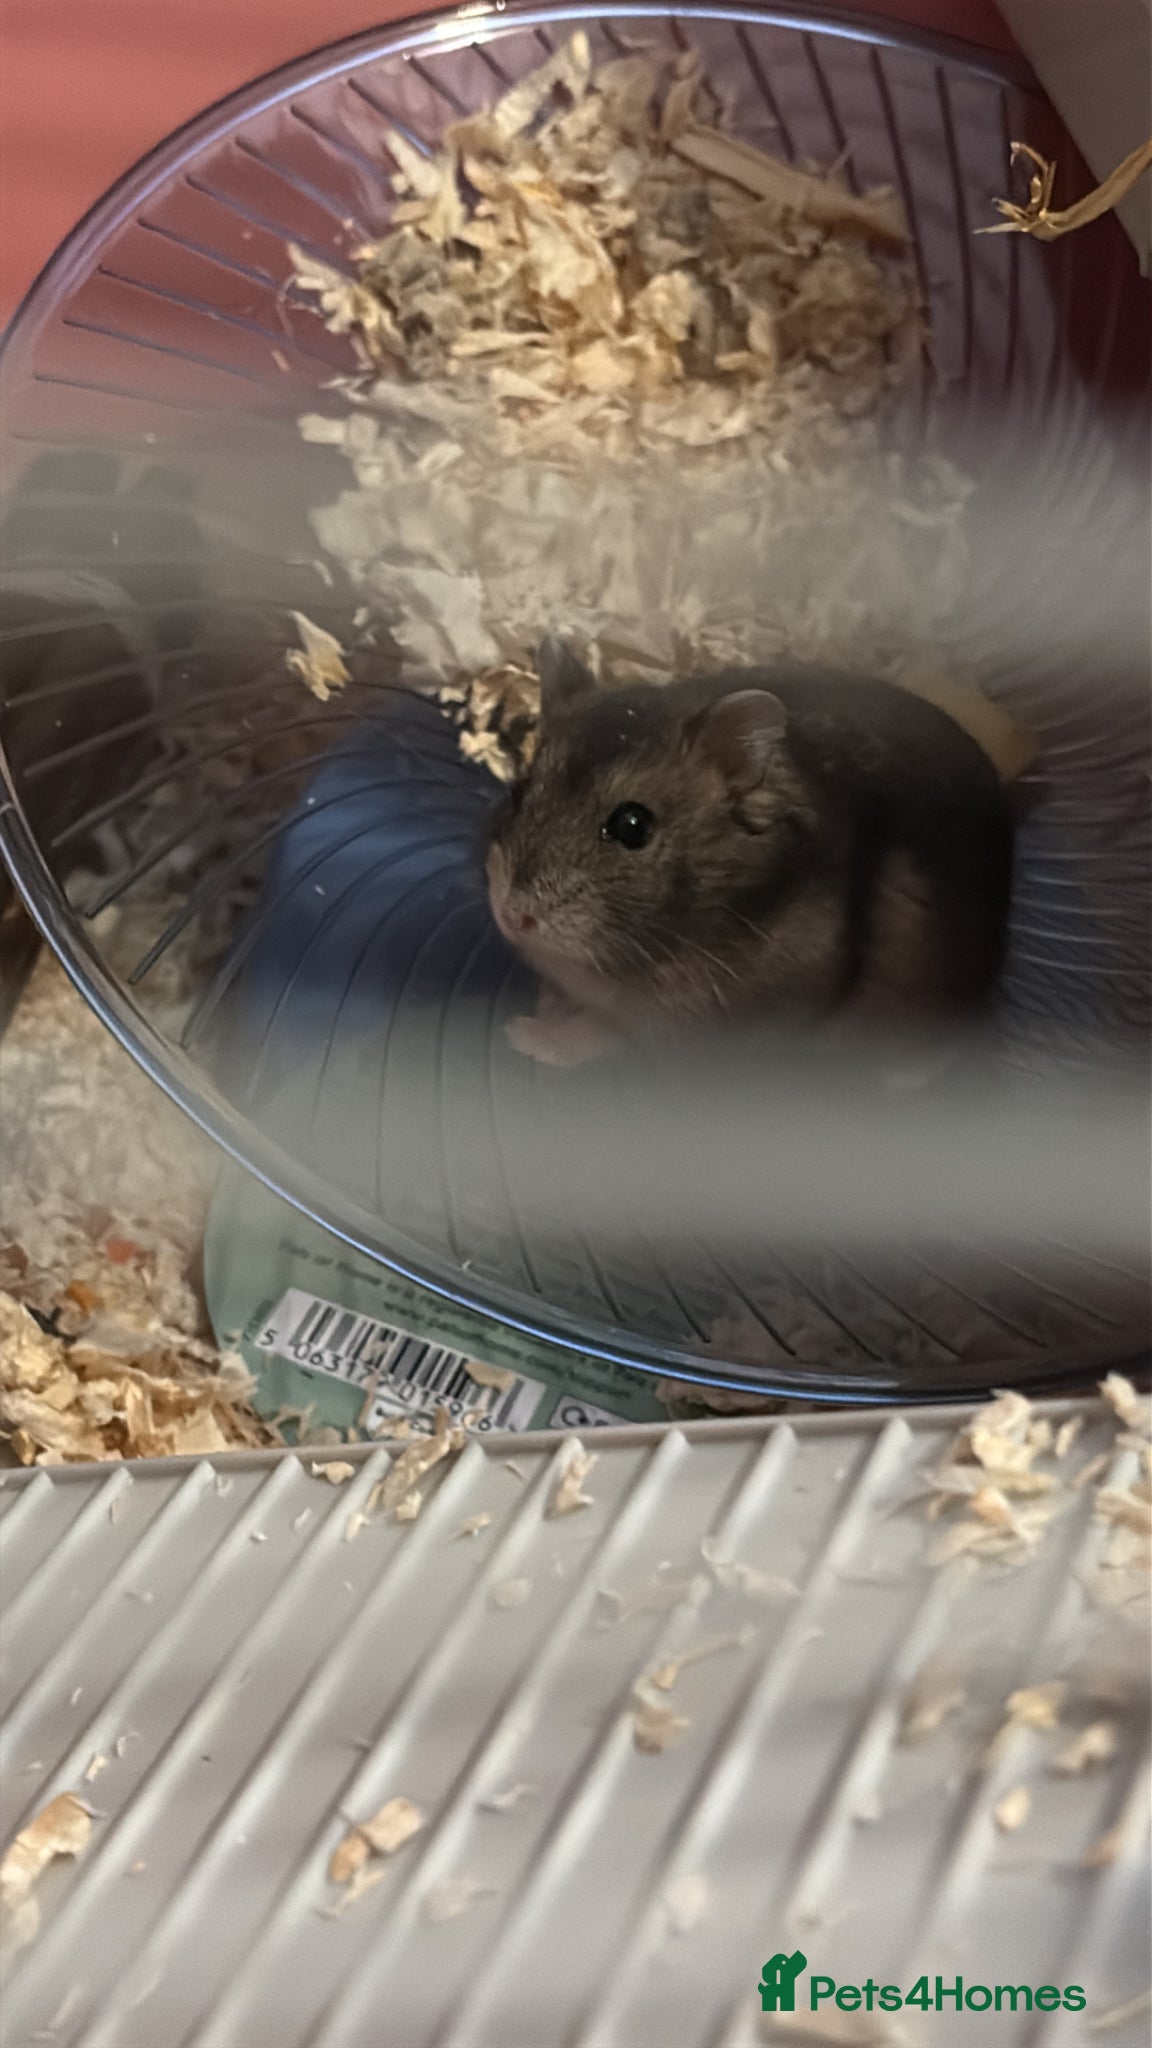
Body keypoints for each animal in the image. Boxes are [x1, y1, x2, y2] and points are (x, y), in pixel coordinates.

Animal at [486, 639, 1014, 1064]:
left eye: (632, 826)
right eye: (520, 790)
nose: (511, 918)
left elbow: (605, 1030)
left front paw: (523, 1034)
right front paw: (545, 1003)